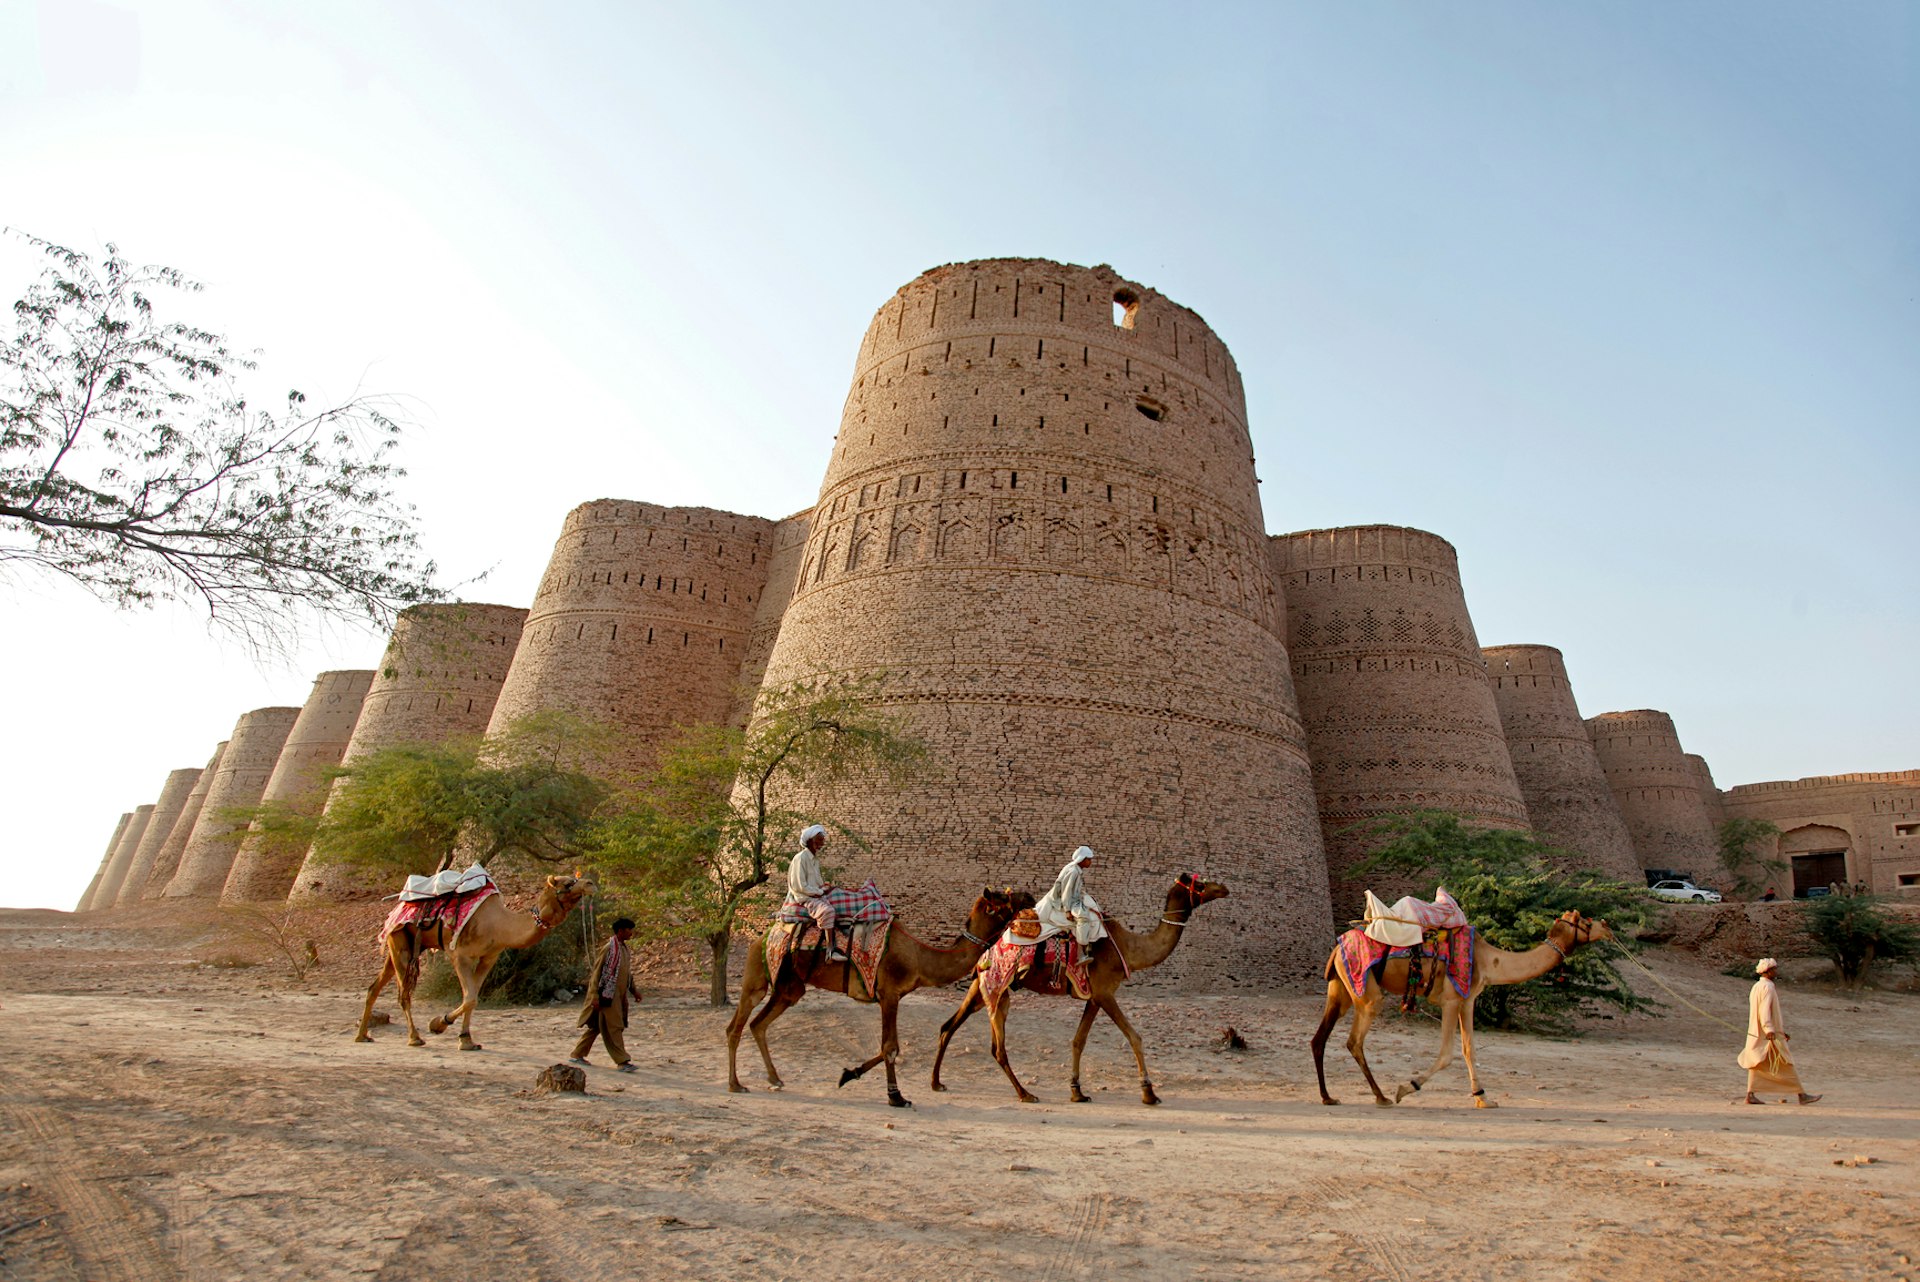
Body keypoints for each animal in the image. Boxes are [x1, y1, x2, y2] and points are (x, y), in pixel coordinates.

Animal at [357, 871, 595, 1051]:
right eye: (568, 882)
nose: (591, 883)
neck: (499, 924)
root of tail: (397, 906)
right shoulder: (459, 955)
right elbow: (470, 997)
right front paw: (438, 1024)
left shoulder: (488, 958)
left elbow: (473, 997)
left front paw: (466, 1040)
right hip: (400, 944)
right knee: (404, 993)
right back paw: (414, 1037)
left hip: (401, 944)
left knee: (374, 987)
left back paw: (362, 1035)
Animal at [721, 886, 1029, 1105]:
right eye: (1003, 899)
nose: (1027, 895)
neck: (919, 957)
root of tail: (765, 935)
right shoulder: (889, 993)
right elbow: (890, 1047)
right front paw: (896, 1096)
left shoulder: (890, 996)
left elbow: (887, 1047)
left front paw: (848, 1075)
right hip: (757, 978)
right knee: (735, 1027)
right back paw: (735, 1084)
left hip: (789, 988)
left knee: (758, 1024)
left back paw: (775, 1078)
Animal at [929, 875, 1228, 1105]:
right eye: (1201, 884)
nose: (1223, 888)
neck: (1128, 948)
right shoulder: (1105, 993)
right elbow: (1135, 1037)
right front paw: (1149, 1093)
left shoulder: (1093, 997)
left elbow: (1078, 1041)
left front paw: (1077, 1091)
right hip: (997, 988)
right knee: (996, 1048)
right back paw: (1026, 1094)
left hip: (983, 988)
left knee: (948, 1027)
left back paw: (936, 1082)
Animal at [1313, 905, 1612, 1105]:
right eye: (1586, 921)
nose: (1607, 926)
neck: (1488, 960)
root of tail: (1337, 947)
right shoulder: (1450, 999)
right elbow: (1447, 1054)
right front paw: (1407, 1087)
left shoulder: (1468, 1000)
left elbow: (1470, 1049)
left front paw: (1483, 1098)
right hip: (1366, 990)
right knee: (1354, 1040)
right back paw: (1381, 1096)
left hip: (1340, 988)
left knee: (1319, 1039)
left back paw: (1328, 1097)